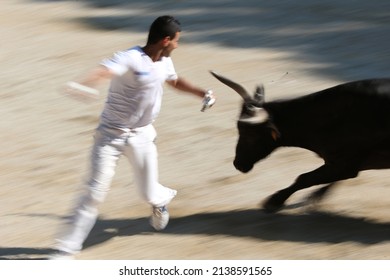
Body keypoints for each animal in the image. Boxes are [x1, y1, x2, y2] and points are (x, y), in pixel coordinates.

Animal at [212, 71, 390, 213]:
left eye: (249, 134)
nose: (238, 164)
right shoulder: (346, 164)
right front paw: (313, 197)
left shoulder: (343, 164)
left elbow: (303, 178)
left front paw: (273, 201)